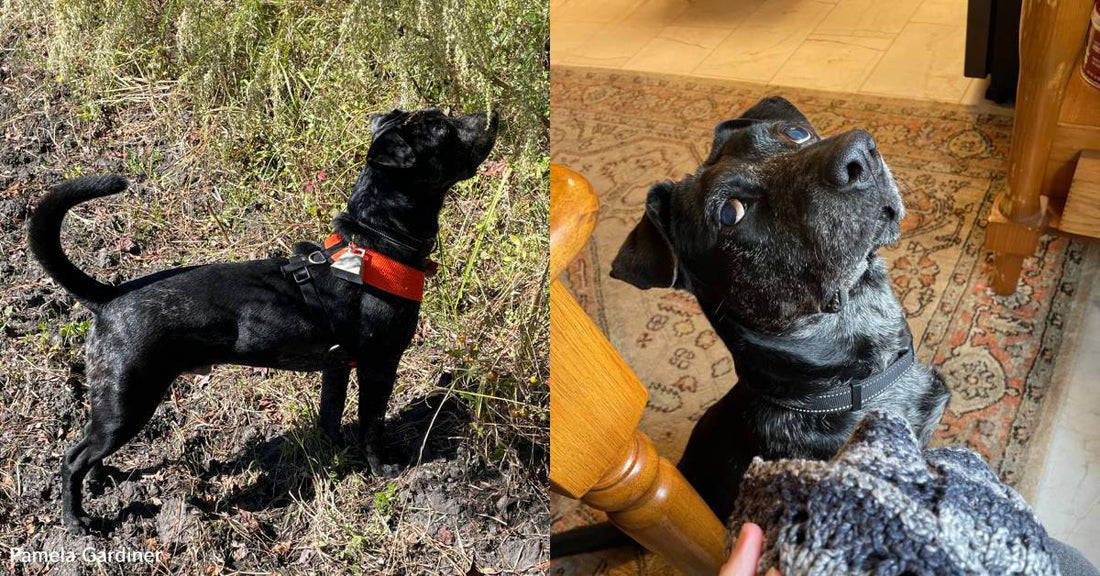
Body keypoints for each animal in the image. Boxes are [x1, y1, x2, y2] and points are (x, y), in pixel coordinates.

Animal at [26, 106, 499, 532]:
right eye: (441, 129)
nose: (490, 114)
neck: (374, 243)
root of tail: (108, 298)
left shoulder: (337, 366)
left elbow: (331, 416)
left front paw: (332, 453)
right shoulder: (378, 366)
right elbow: (372, 425)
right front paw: (382, 468)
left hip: (115, 404)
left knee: (89, 445)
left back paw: (104, 477)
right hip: (129, 399)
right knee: (73, 458)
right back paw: (76, 520)